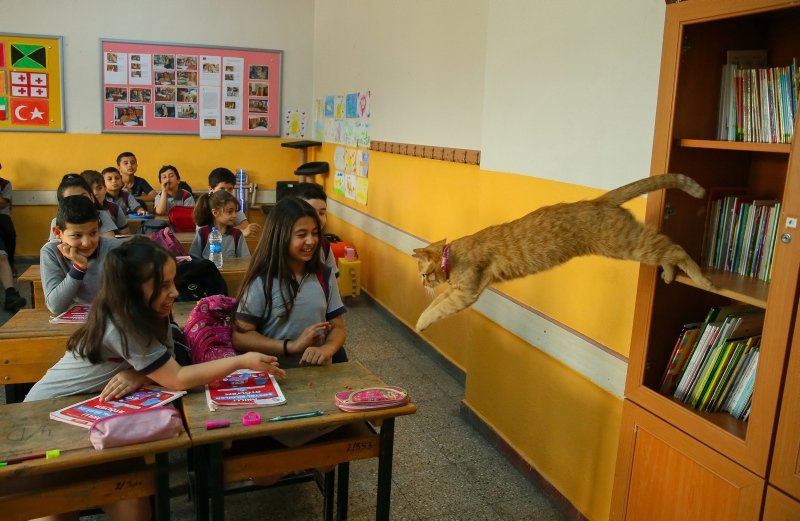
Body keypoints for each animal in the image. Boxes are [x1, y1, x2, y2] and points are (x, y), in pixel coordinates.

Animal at [412, 174, 712, 330]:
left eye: (424, 275)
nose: (422, 283)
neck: (452, 256)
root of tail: (598, 200)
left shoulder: (466, 293)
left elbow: (435, 310)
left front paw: (420, 325)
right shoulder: (455, 291)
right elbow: (434, 306)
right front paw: (422, 317)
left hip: (626, 244)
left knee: (675, 248)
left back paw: (704, 280)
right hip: (633, 243)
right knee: (666, 250)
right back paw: (670, 275)